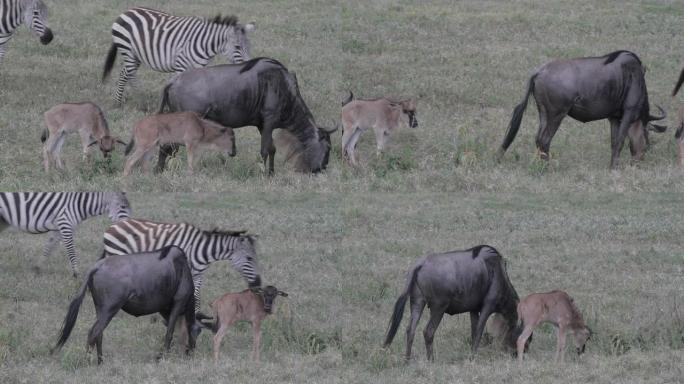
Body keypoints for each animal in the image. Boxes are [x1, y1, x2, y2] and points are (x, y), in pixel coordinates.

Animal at [0, 192, 131, 276]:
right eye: (123, 206)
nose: (130, 221)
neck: (79, 206)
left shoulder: (58, 229)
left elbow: (48, 247)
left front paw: (38, 268)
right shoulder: (65, 226)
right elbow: (71, 251)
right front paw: (76, 273)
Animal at [50, 244, 195, 364]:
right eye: (197, 330)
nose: (191, 351)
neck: (182, 267)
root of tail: (97, 266)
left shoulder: (165, 309)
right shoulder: (178, 303)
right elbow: (170, 333)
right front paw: (163, 357)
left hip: (100, 309)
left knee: (99, 333)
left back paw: (100, 362)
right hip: (110, 309)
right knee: (93, 332)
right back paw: (88, 362)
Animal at [103, 219, 260, 316]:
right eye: (249, 259)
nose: (258, 284)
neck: (200, 249)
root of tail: (115, 225)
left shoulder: (198, 275)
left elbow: (196, 295)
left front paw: (197, 314)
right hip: (116, 256)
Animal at [104, 7, 256, 103]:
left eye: (249, 47)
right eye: (237, 47)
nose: (250, 67)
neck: (204, 43)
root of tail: (127, 11)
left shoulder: (199, 67)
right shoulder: (180, 65)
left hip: (135, 55)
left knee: (124, 73)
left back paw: (119, 102)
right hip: (128, 51)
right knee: (131, 74)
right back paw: (143, 100)